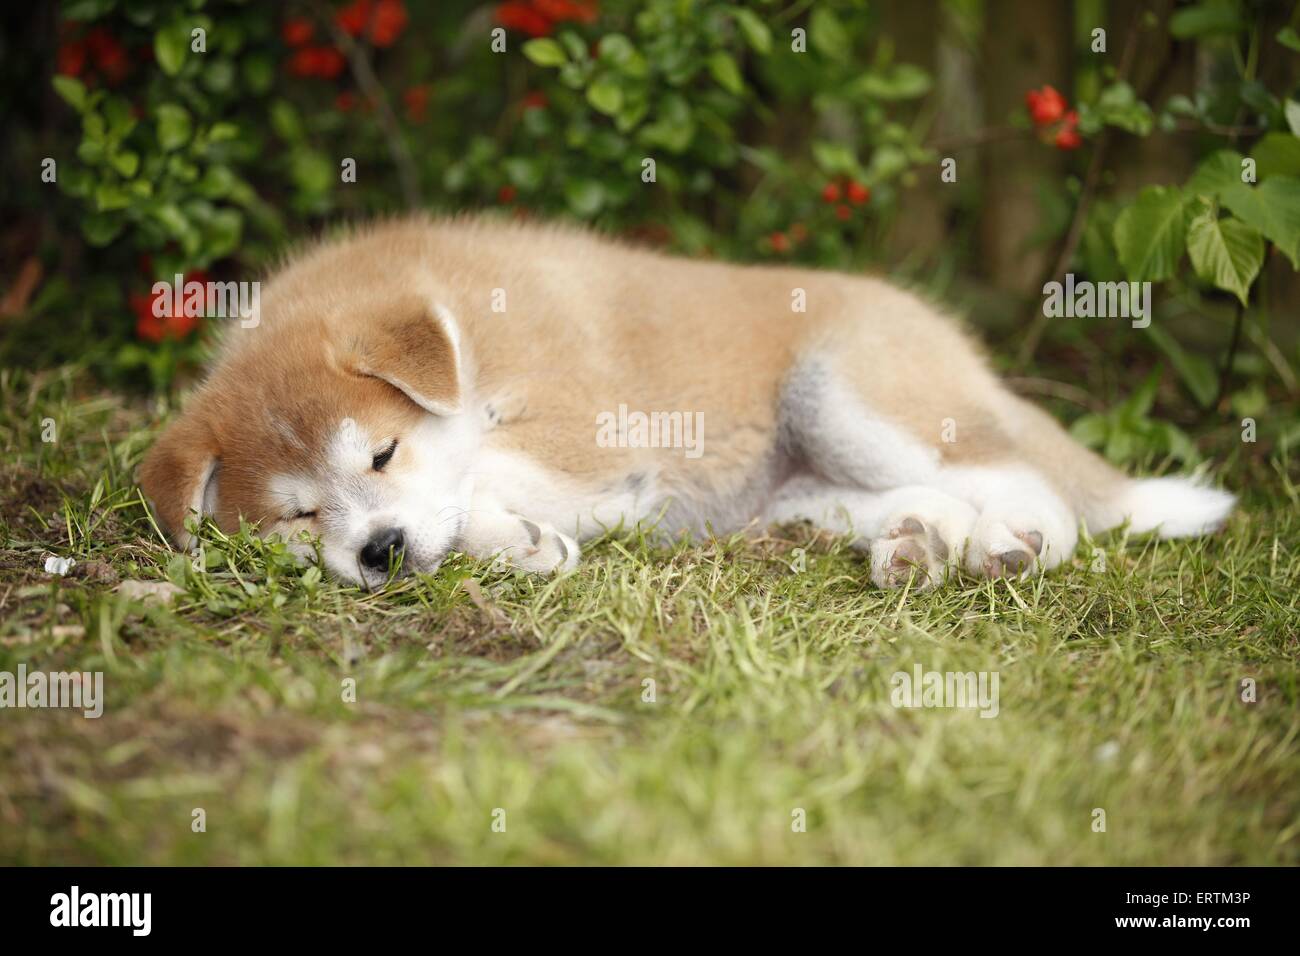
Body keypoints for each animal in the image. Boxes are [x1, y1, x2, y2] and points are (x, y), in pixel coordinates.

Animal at [137, 217, 1232, 590]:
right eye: (298, 515)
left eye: (379, 455)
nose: (380, 552)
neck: (472, 337)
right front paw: (516, 542)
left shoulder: (587, 433)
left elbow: (479, 473)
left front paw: (504, 531)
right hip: (806, 484)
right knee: (913, 501)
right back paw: (918, 544)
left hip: (847, 393)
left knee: (1030, 486)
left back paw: (1009, 543)